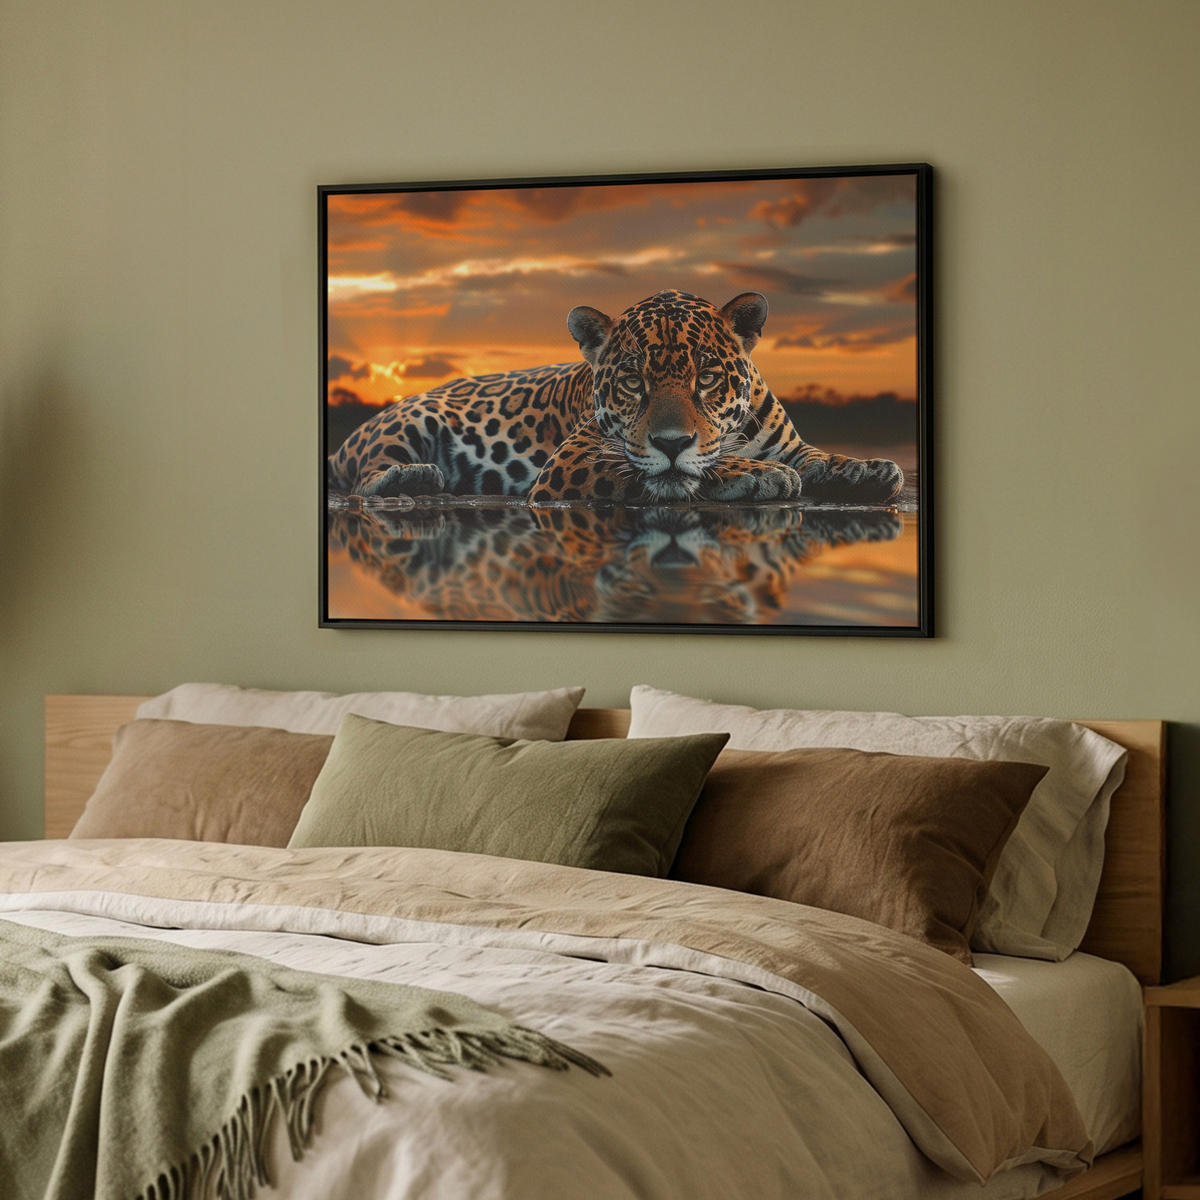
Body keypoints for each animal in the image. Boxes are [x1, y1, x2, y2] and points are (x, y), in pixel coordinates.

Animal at [327, 289, 904, 506]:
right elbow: (682, 467)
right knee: (365, 474)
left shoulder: (790, 444)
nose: (670, 441)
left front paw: (869, 469)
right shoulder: (573, 460)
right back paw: (416, 476)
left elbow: (819, 457)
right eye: (632, 381)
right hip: (410, 420)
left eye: (707, 378)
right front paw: (757, 474)